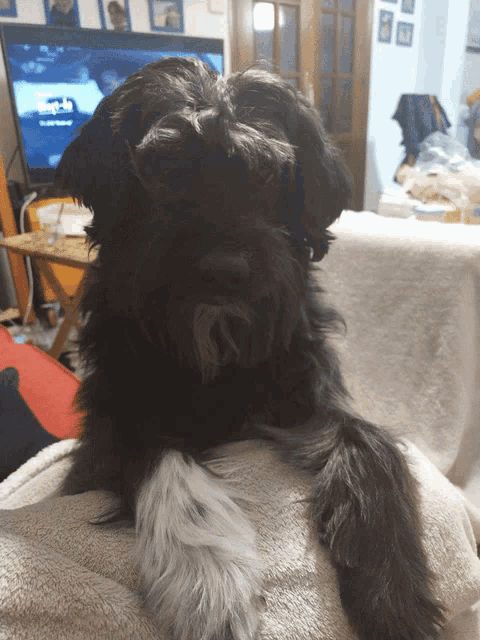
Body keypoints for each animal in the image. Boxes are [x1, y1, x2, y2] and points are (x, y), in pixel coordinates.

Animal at [56, 57, 446, 636]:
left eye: (266, 174)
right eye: (165, 167)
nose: (224, 271)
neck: (217, 350)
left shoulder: (312, 396)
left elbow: (371, 443)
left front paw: (394, 590)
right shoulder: (111, 420)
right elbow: (164, 458)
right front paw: (208, 579)